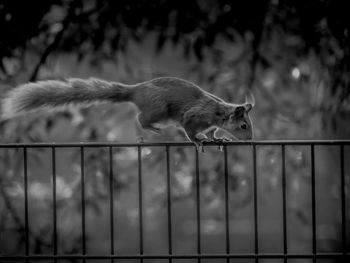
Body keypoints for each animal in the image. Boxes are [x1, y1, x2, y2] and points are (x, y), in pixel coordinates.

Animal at [2, 76, 254, 147]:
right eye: (243, 126)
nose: (250, 139)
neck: (218, 112)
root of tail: (136, 90)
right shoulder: (193, 117)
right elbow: (191, 132)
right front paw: (199, 142)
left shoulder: (210, 123)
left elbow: (213, 132)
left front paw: (218, 138)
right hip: (159, 109)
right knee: (139, 118)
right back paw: (150, 129)